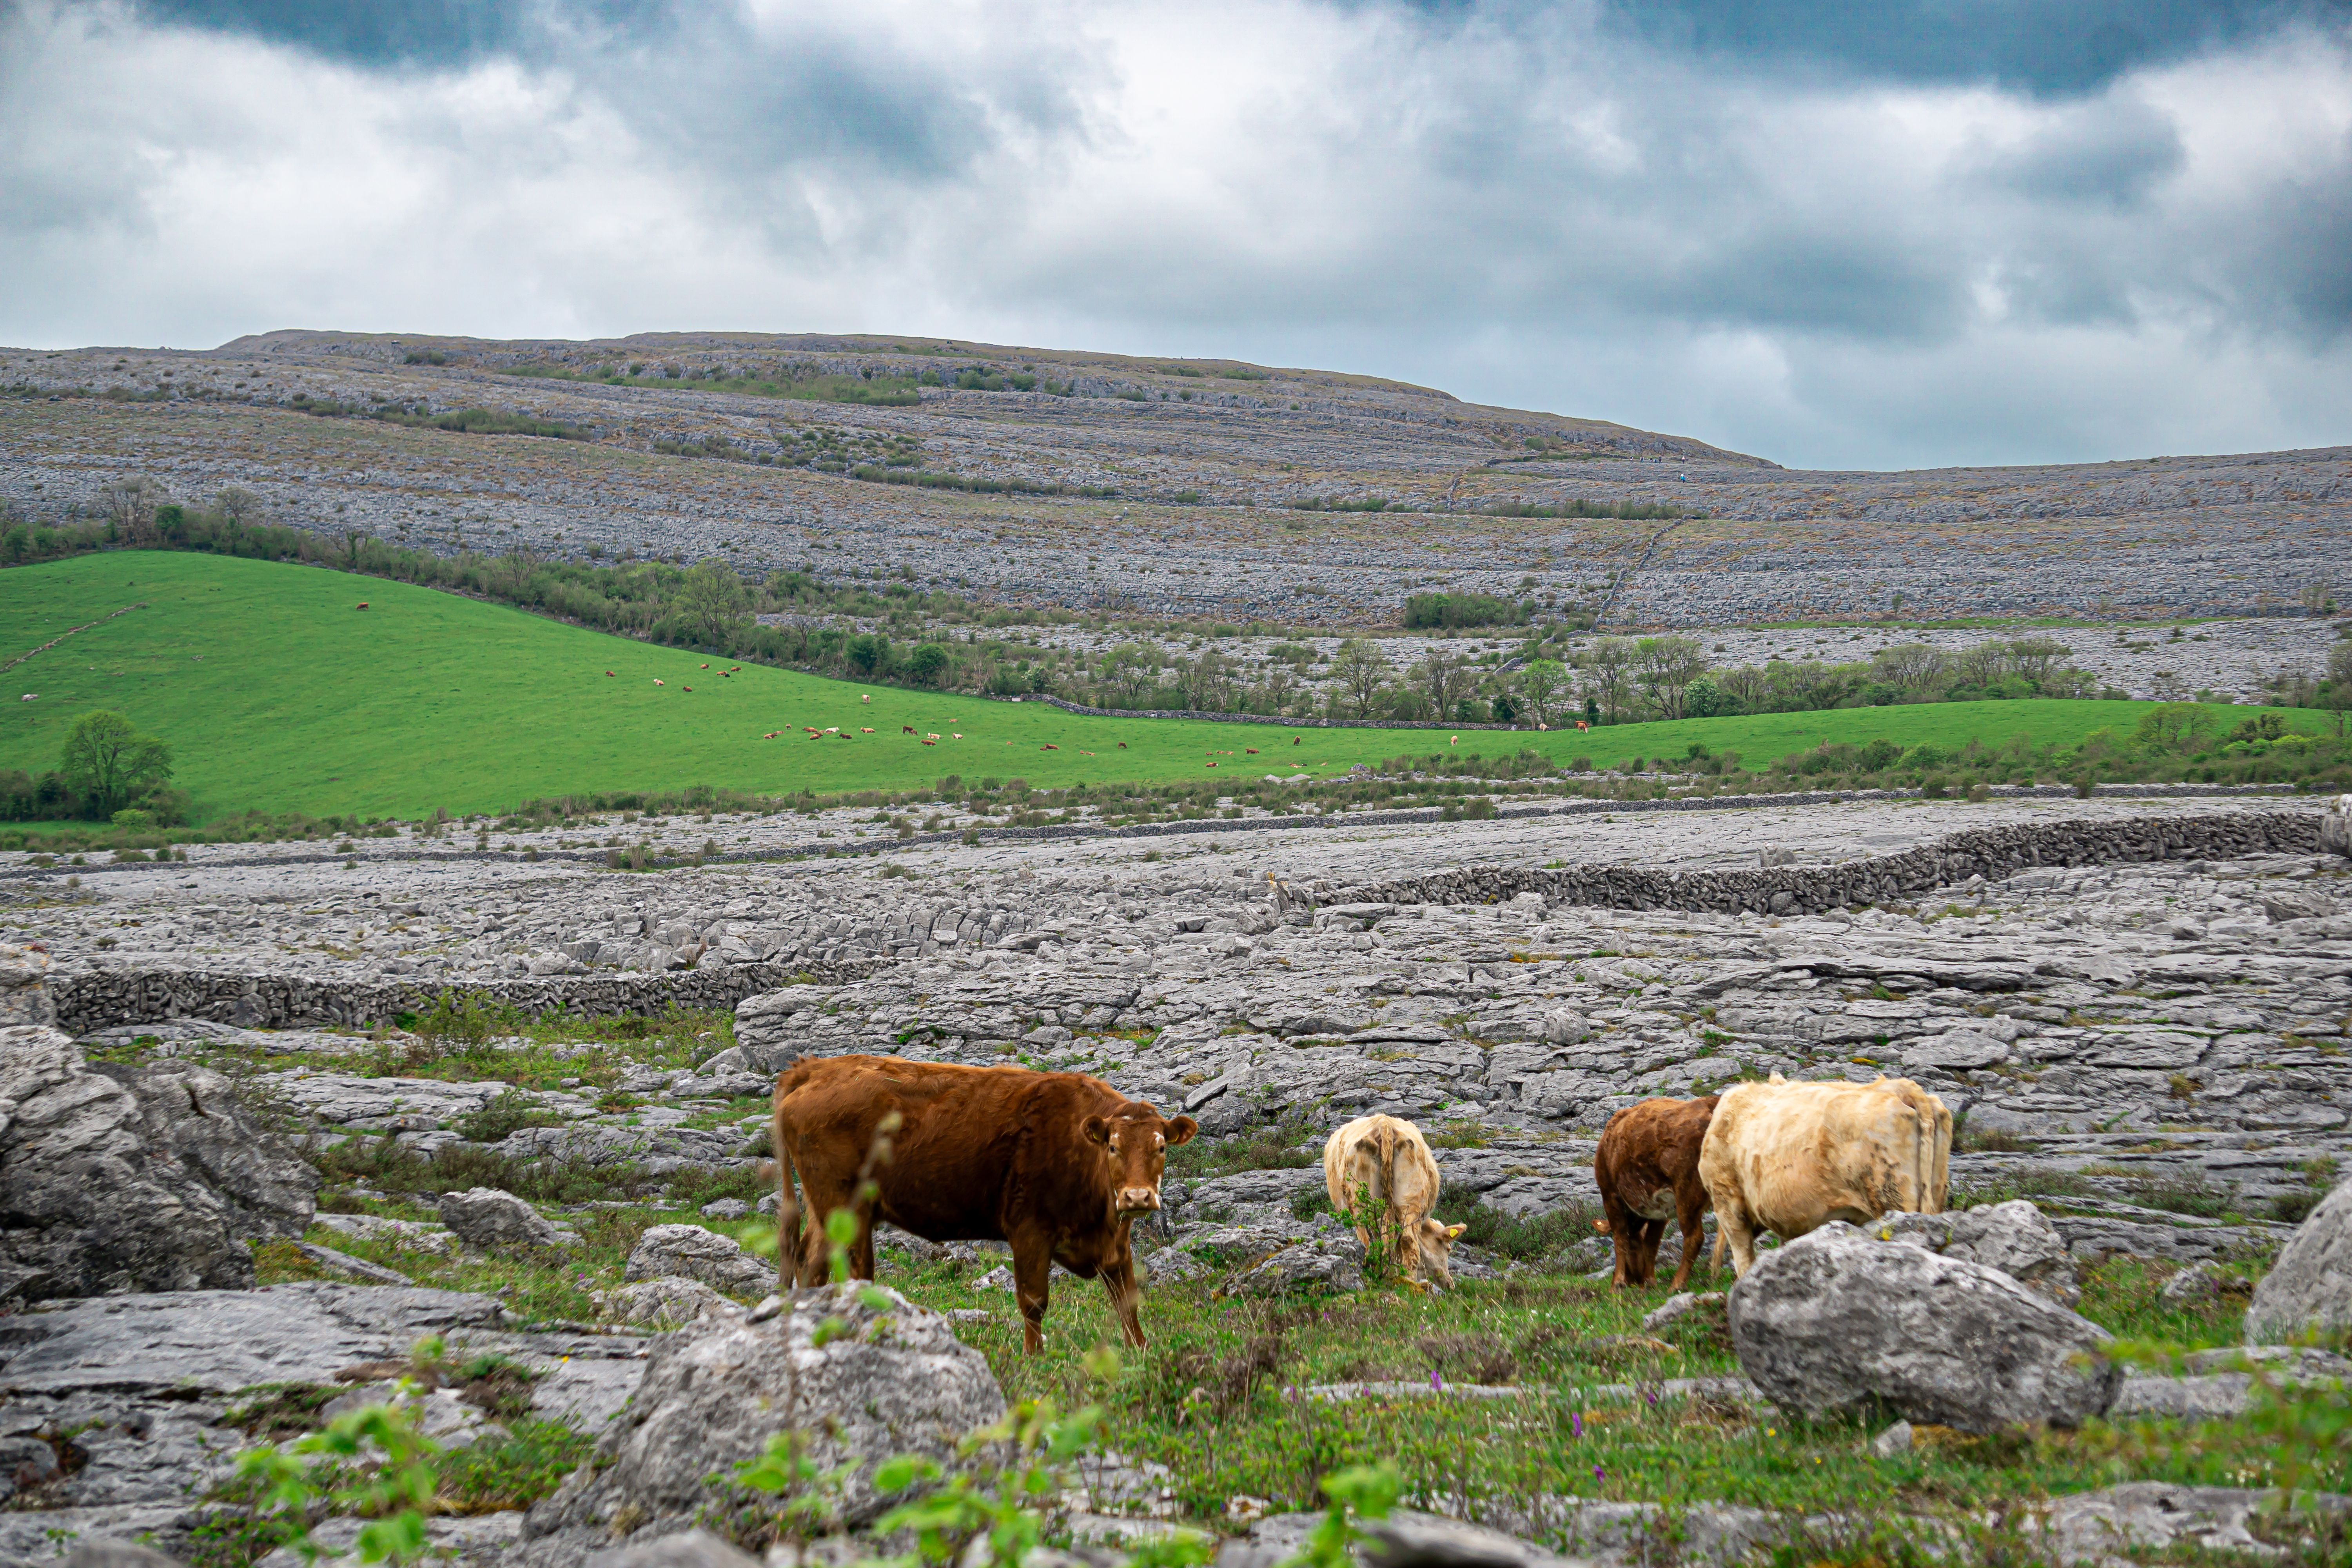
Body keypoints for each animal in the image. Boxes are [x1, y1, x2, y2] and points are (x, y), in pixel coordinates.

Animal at [770, 1054, 1196, 1353]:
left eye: (1161, 1147)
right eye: (1113, 1147)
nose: (1137, 1196)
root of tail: (815, 1067)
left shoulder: (1115, 1244)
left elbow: (1128, 1302)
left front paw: (1141, 1352)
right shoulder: (1029, 1230)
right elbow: (1034, 1301)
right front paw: (1034, 1359)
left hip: (826, 1210)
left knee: (812, 1264)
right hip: (844, 1208)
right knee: (846, 1271)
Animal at [1322, 1114, 1463, 1288]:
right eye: (1448, 1249)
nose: (1450, 1284)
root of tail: (1384, 1124)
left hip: (1365, 1203)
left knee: (1372, 1240)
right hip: (1408, 1201)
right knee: (1405, 1240)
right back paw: (1406, 1279)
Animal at [1592, 1094, 1718, 1291]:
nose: (1634, 1279)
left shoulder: (1610, 1195)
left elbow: (1620, 1239)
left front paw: (1617, 1284)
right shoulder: (1660, 1211)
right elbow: (1652, 1244)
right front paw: (1650, 1282)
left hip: (1688, 1191)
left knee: (1694, 1238)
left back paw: (1677, 1284)